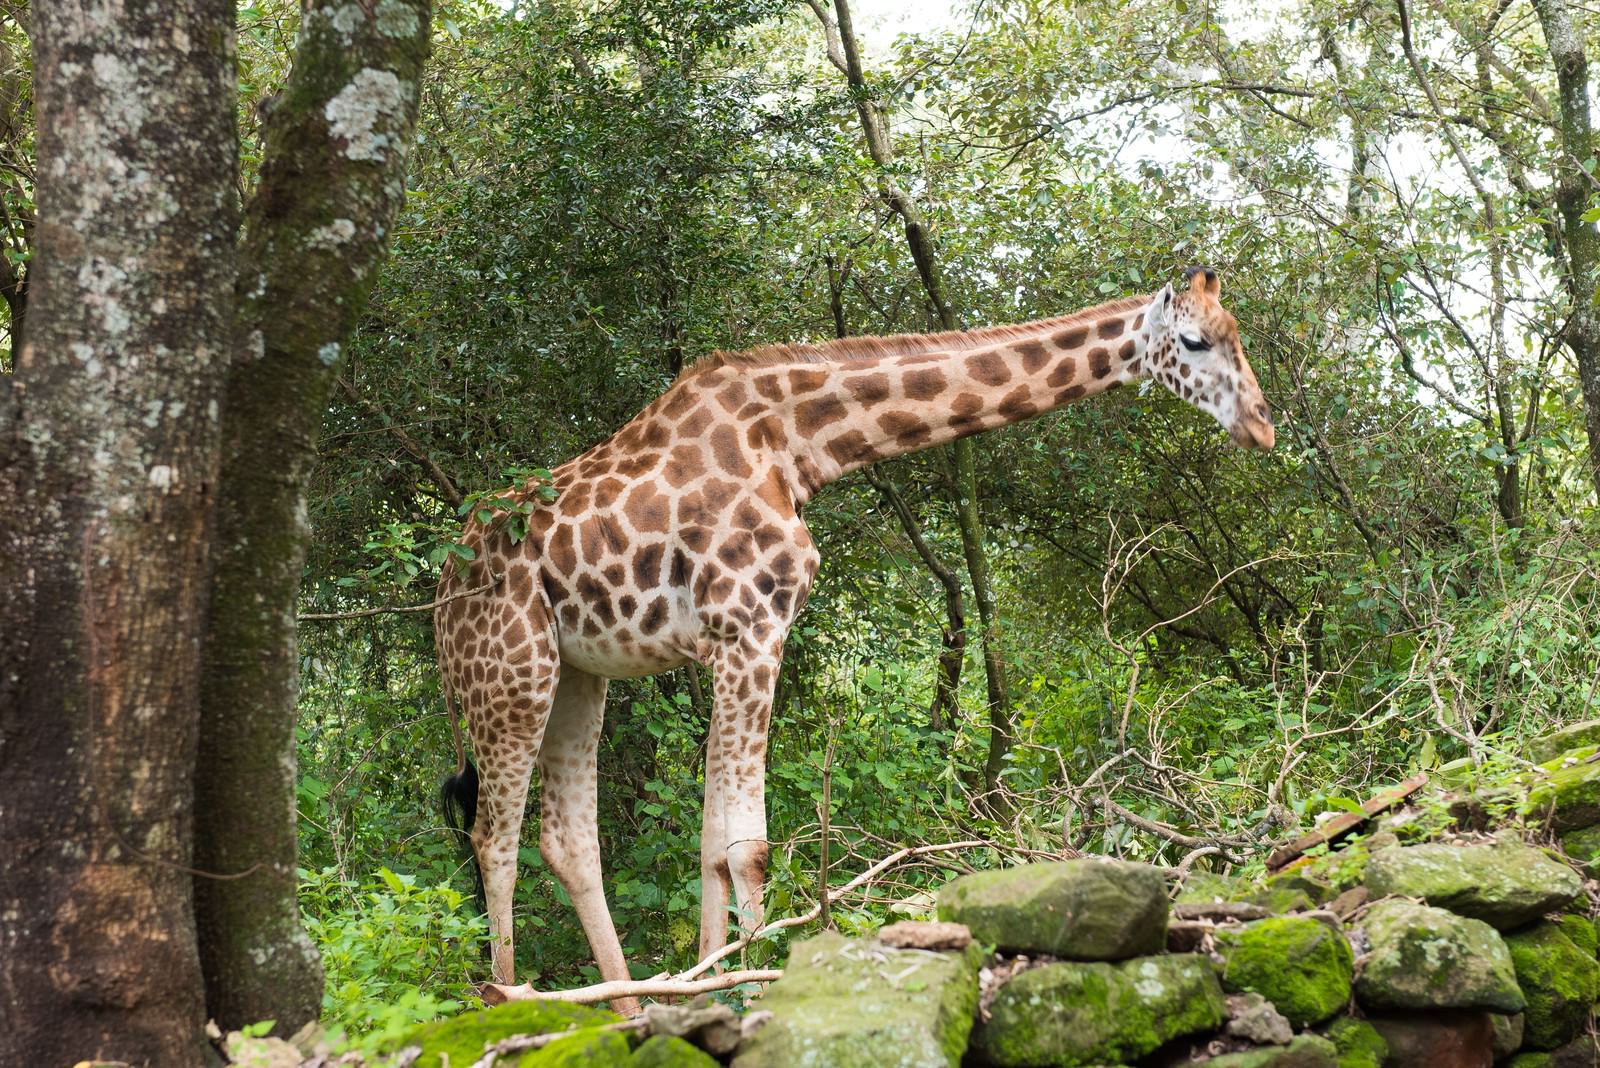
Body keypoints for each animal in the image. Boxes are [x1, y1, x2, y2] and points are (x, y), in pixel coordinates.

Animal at [435, 265, 1273, 1010]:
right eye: (1194, 340)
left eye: (1239, 334)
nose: (1263, 426)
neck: (798, 443)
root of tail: (441, 594)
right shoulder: (750, 627)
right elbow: (747, 846)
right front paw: (751, 987)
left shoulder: (731, 640)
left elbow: (711, 842)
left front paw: (706, 987)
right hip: (510, 672)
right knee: (492, 838)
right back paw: (506, 996)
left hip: (580, 673)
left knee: (567, 840)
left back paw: (626, 1006)